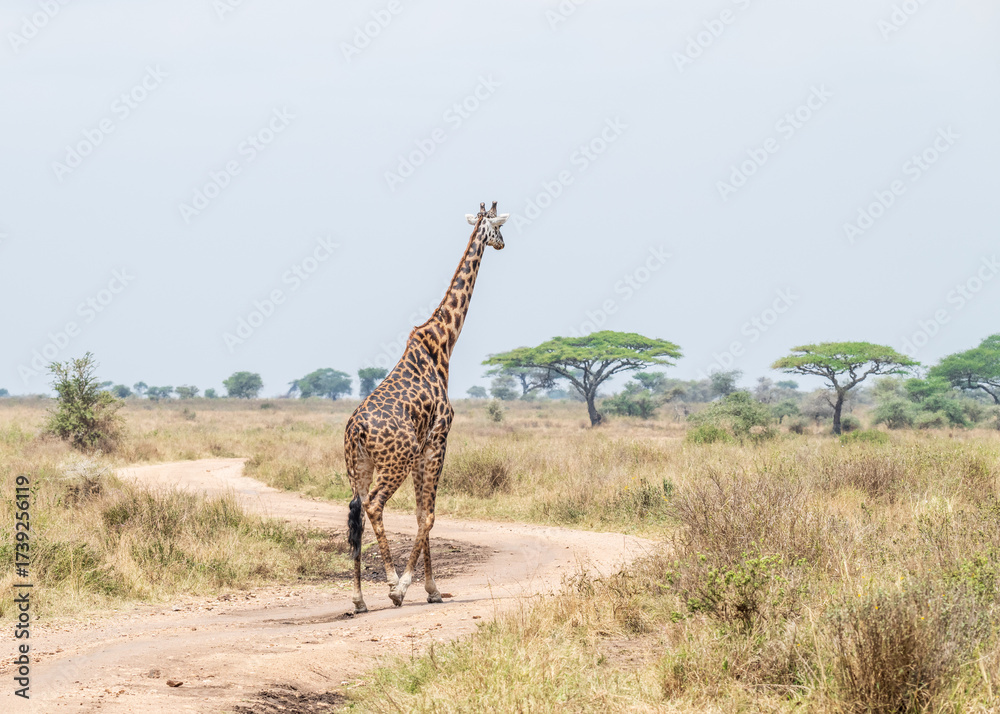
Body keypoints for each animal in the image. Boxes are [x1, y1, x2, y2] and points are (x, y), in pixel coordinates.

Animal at [345, 201, 508, 612]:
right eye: (498, 227)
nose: (502, 244)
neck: (444, 341)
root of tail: (356, 430)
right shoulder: (437, 442)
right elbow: (429, 516)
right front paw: (406, 586)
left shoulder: (423, 450)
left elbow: (422, 515)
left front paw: (432, 589)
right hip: (394, 463)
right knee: (373, 505)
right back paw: (389, 582)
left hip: (358, 467)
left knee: (356, 511)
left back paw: (358, 598)